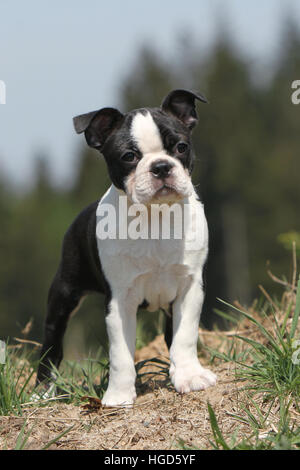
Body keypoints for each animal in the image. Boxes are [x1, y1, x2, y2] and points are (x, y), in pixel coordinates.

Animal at [36, 90, 217, 406]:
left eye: (181, 147)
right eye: (129, 156)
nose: (161, 166)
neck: (156, 217)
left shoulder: (190, 286)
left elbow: (184, 336)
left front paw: (189, 376)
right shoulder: (120, 299)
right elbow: (120, 353)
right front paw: (119, 396)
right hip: (64, 293)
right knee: (52, 341)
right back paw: (43, 391)